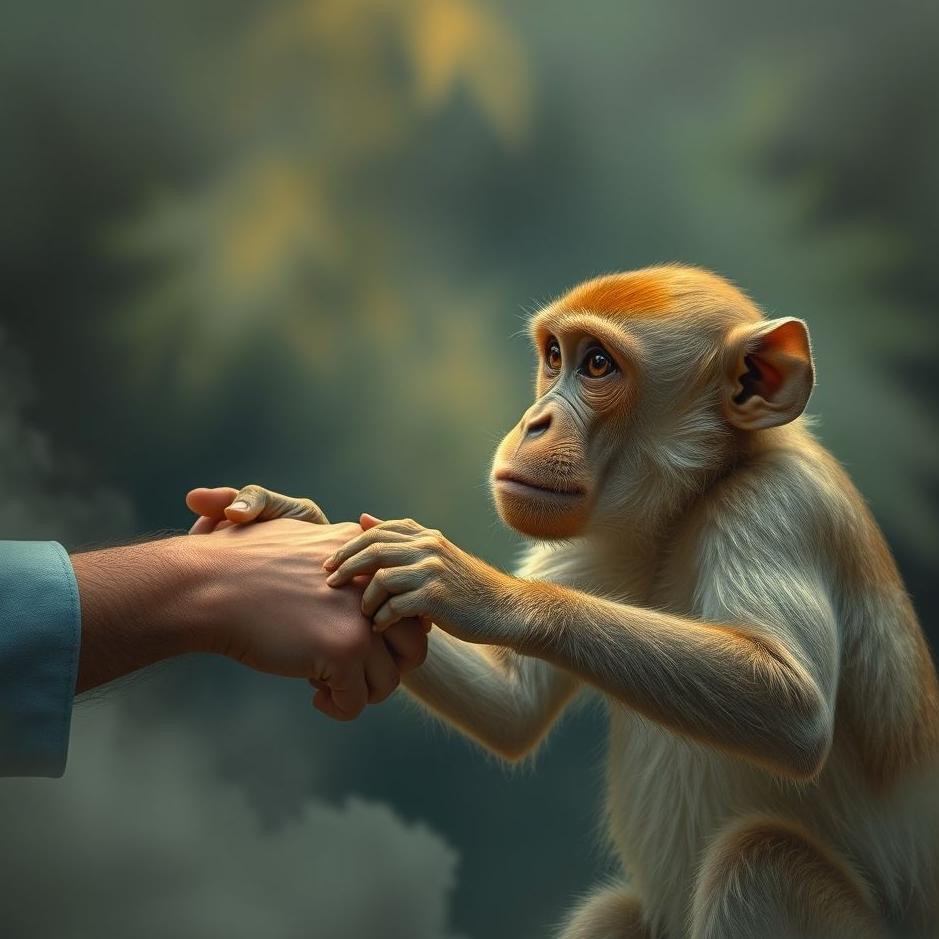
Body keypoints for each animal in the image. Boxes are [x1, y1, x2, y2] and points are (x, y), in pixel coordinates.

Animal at [220, 265, 939, 938]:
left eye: (598, 364)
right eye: (554, 356)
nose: (533, 422)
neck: (698, 493)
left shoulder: (777, 503)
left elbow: (795, 709)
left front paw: (481, 590)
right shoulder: (605, 539)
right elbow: (510, 705)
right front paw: (298, 521)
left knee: (758, 859)